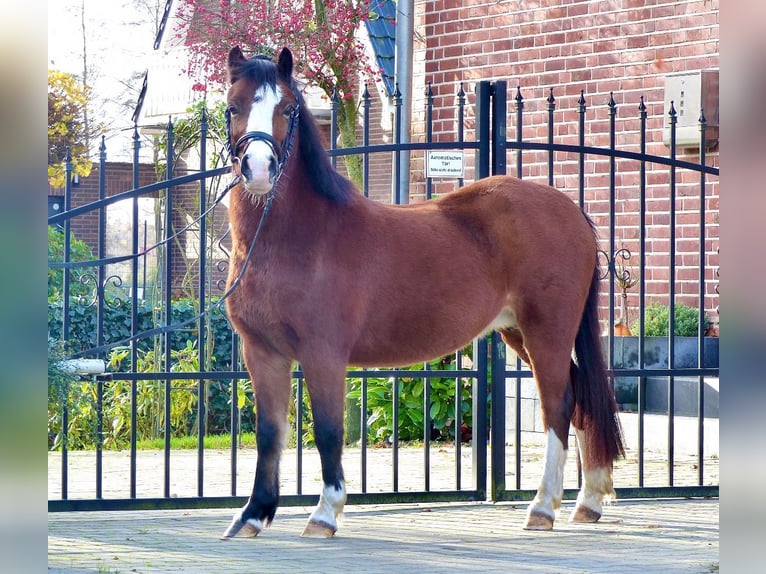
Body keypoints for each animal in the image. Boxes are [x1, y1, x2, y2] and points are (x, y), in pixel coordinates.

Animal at [219, 47, 620, 544]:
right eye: (232, 107)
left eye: (289, 109)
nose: (258, 170)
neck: (295, 239)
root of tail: (572, 211)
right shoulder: (262, 352)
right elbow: (269, 434)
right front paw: (252, 515)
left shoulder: (322, 353)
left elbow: (328, 430)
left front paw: (325, 514)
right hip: (519, 333)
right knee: (581, 398)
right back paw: (588, 502)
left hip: (547, 331)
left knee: (558, 406)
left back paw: (542, 507)